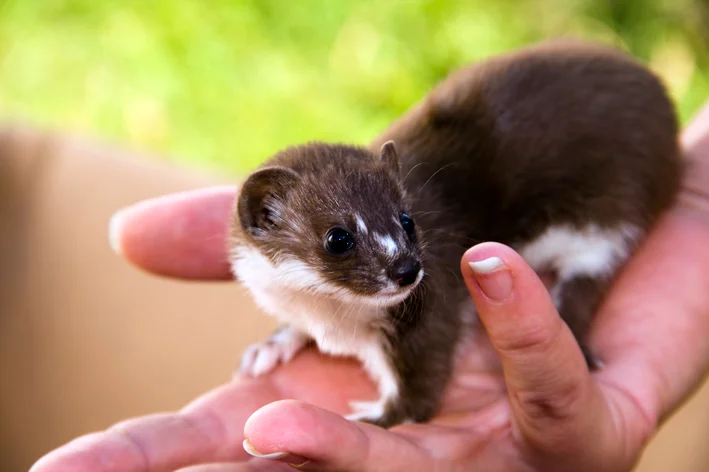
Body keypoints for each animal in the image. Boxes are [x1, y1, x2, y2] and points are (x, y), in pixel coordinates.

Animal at [227, 39, 680, 428]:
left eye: (407, 219)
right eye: (338, 237)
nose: (407, 270)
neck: (331, 319)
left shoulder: (430, 312)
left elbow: (420, 392)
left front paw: (370, 417)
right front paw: (267, 348)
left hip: (613, 219)